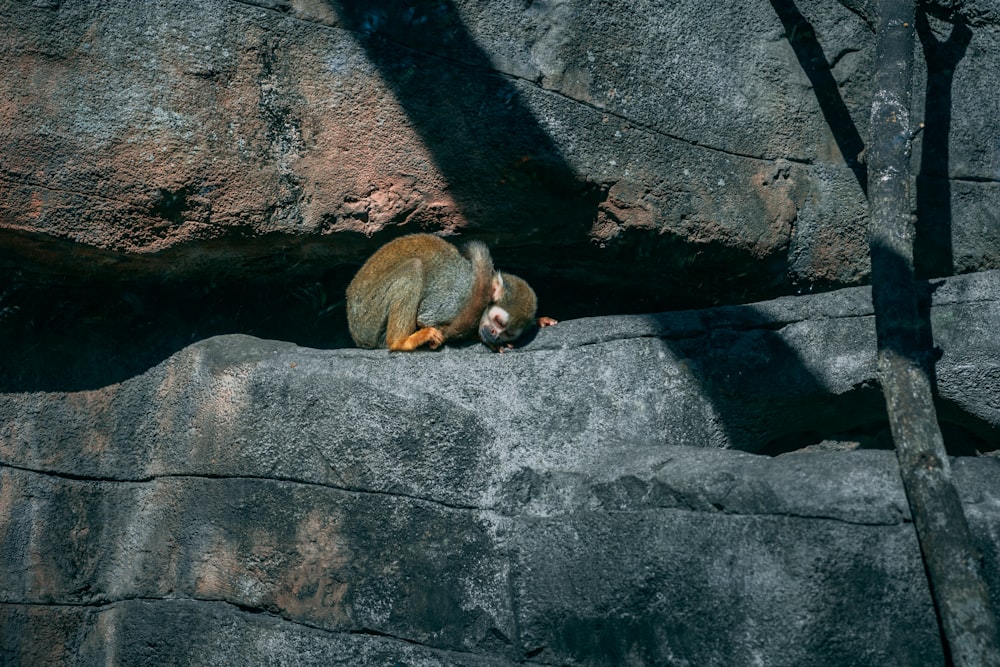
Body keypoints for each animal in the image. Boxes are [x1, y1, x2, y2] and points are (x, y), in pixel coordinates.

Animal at [348, 232, 556, 352]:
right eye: (498, 322)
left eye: (508, 333)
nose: (495, 334)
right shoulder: (460, 296)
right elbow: (426, 317)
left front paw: (539, 321)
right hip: (368, 315)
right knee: (413, 269)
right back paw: (400, 342)